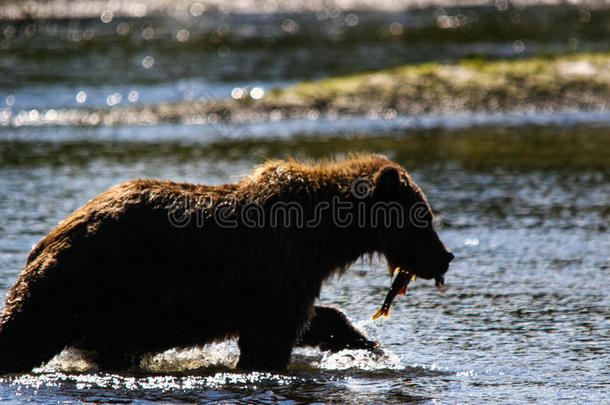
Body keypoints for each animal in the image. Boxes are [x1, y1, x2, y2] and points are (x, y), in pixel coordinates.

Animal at [0, 155, 446, 372]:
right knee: (25, 330)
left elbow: (314, 320)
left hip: (115, 311)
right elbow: (269, 340)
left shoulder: (288, 278)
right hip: (82, 279)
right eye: (424, 216)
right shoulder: (276, 268)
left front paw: (370, 347)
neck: (325, 236)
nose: (445, 257)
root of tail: (48, 238)